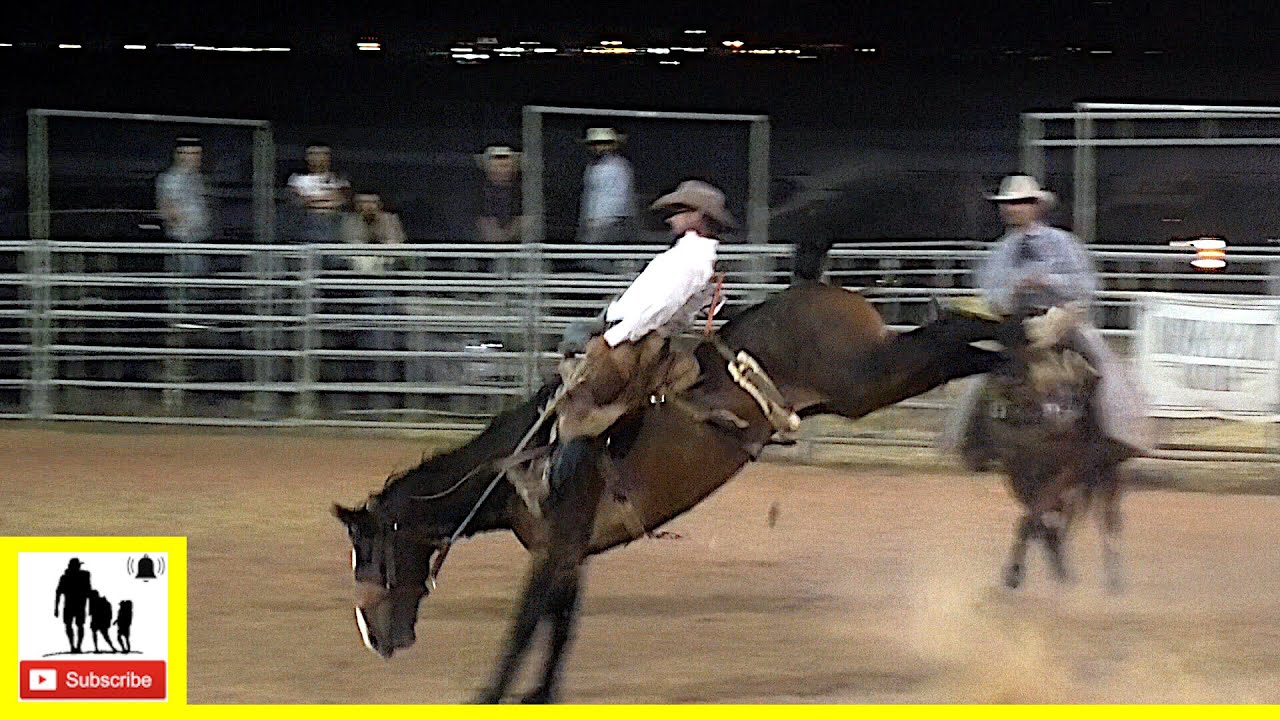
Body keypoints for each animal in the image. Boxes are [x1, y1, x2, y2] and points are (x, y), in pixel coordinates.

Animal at [335, 281, 1003, 702]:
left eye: (370, 553)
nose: (374, 640)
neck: (523, 461)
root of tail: (830, 294)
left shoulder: (555, 549)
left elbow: (524, 626)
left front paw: (489, 695)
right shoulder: (570, 554)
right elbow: (561, 628)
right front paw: (540, 695)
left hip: (865, 381)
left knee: (948, 342)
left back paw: (1014, 335)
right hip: (869, 381)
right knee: (948, 345)